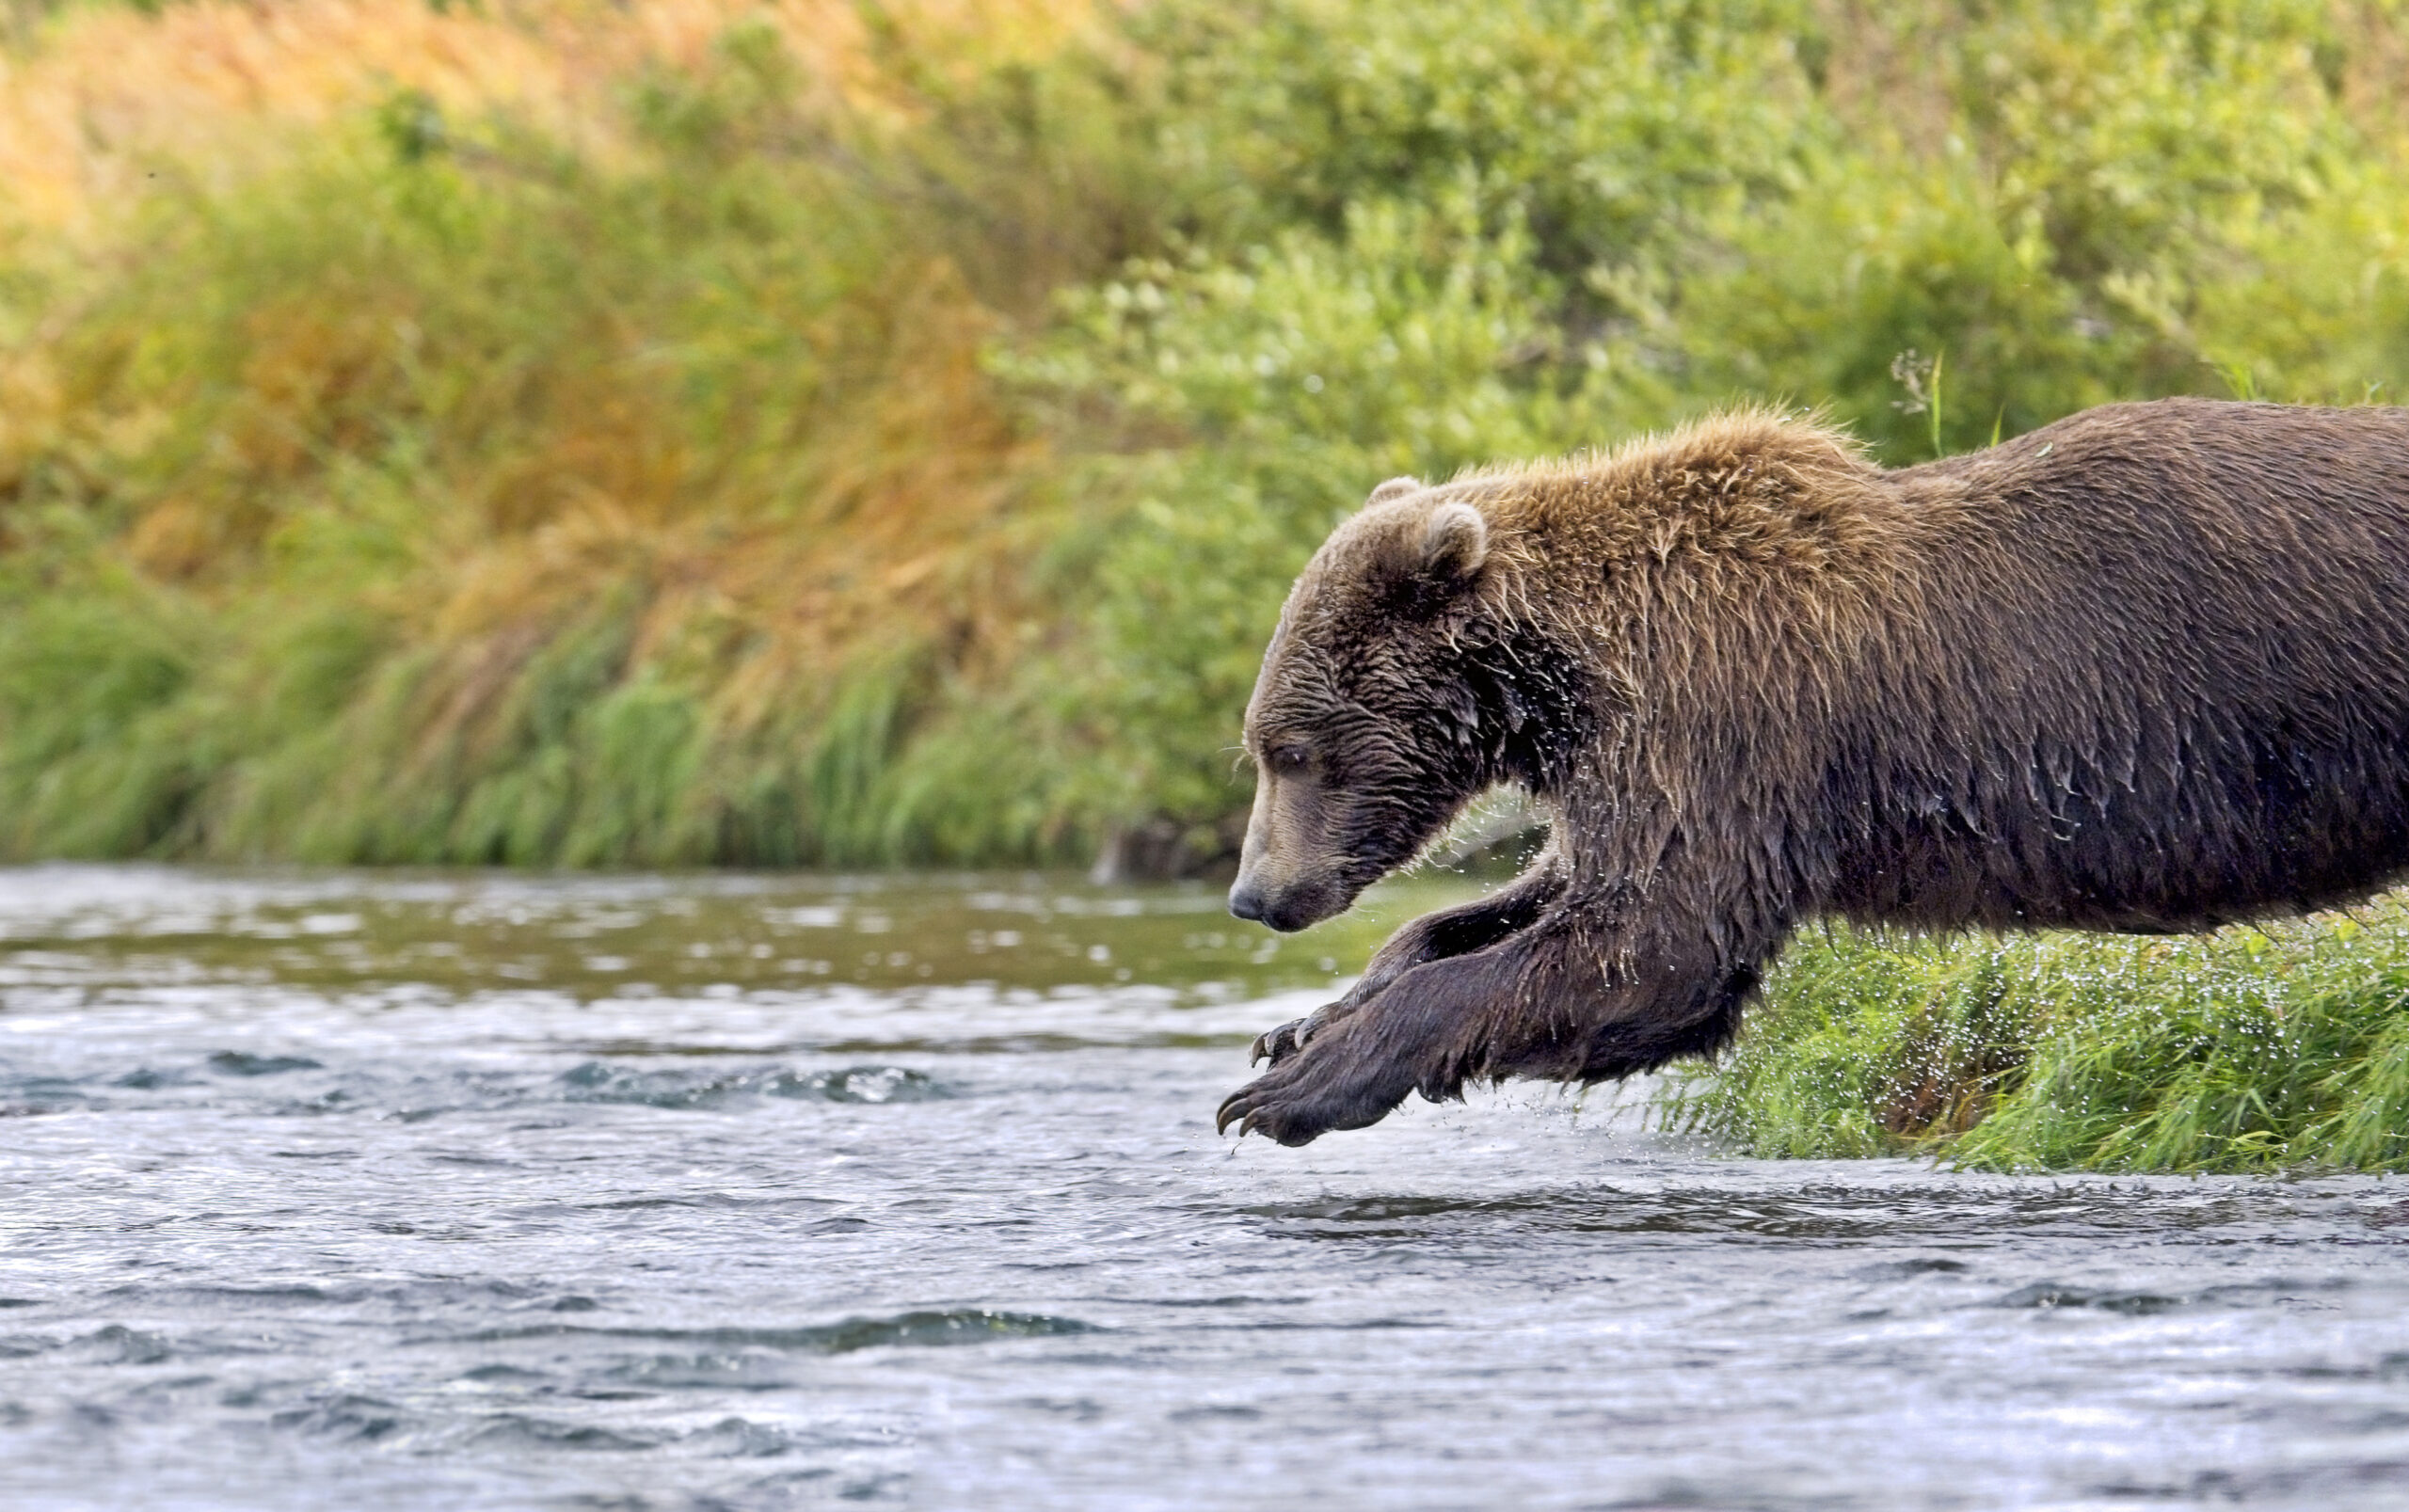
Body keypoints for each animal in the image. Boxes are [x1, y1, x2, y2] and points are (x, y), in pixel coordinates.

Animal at [1223, 402, 2409, 1146]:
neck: (1568, 675)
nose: (1255, 894)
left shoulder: (1723, 719)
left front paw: (1294, 1086)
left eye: (1292, 749)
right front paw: (1302, 1022)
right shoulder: (1645, 763)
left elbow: (1652, 950)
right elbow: (1549, 899)